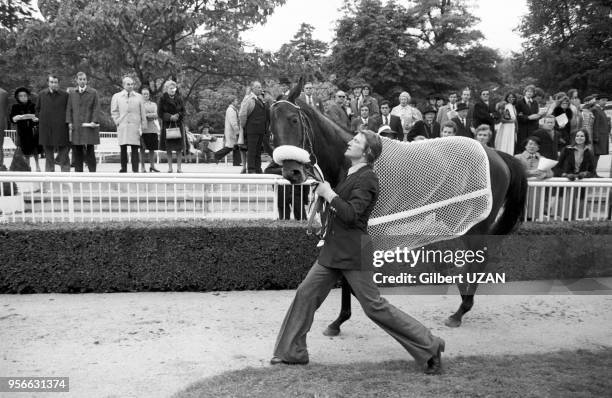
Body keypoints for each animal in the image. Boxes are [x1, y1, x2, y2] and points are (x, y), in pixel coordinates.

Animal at [270, 79, 528, 334]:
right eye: (271, 127)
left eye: (293, 119)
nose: (292, 172)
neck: (349, 163)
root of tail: (497, 154)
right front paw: (339, 320)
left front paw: (343, 319)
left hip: (479, 221)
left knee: (480, 258)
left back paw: (460, 310)